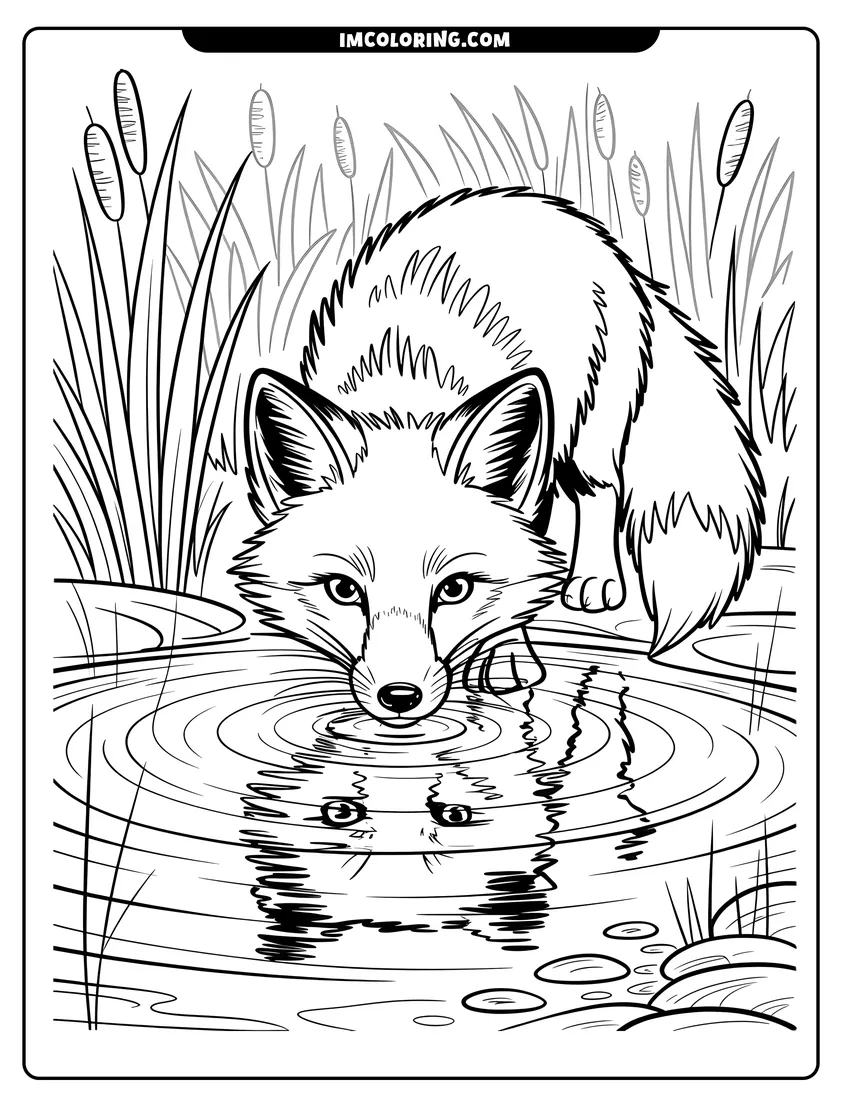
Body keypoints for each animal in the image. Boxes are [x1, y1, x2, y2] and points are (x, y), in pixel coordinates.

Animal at [234, 187, 764, 726]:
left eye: (454, 589)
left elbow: (521, 581)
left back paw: (593, 579)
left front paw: (509, 660)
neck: (408, 393)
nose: (400, 698)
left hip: (586, 431)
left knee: (600, 490)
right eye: (344, 590)